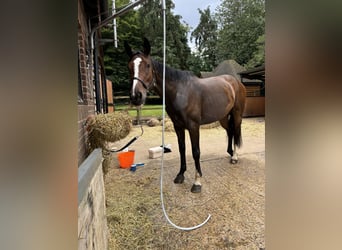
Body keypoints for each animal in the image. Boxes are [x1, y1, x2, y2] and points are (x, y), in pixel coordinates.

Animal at [125, 37, 246, 193]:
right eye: (129, 66)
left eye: (147, 65)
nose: (136, 96)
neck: (180, 92)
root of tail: (235, 81)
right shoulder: (178, 126)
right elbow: (182, 148)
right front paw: (180, 175)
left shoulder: (193, 126)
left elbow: (196, 152)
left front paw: (197, 182)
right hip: (223, 117)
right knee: (230, 131)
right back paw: (230, 153)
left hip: (236, 115)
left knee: (235, 131)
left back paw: (235, 157)